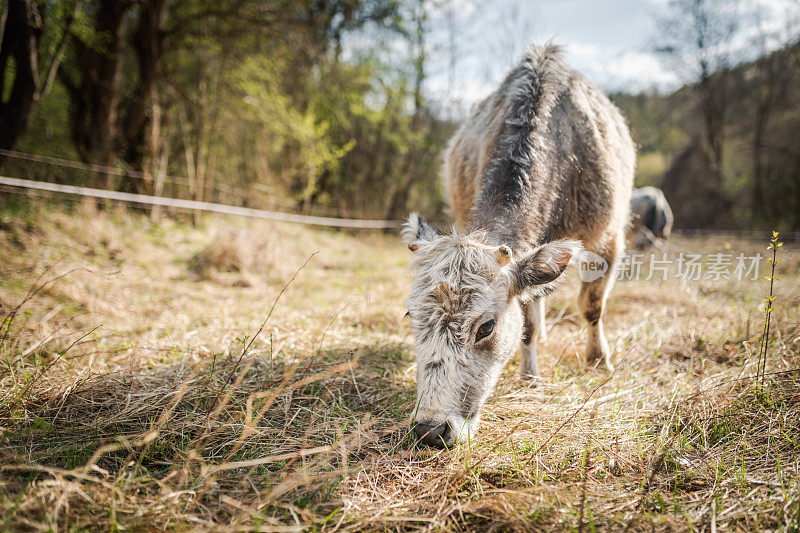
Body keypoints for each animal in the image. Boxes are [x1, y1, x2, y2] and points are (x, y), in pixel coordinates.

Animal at [404, 45, 636, 446]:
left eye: (486, 327)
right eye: (410, 316)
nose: (430, 429)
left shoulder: (607, 239)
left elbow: (592, 307)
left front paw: (598, 360)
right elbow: (527, 323)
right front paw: (530, 376)